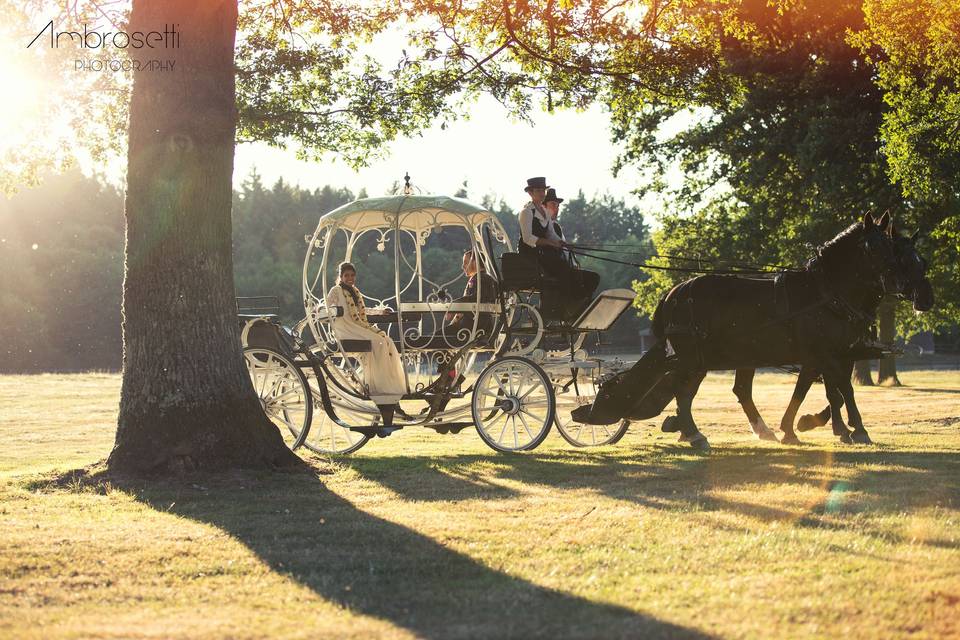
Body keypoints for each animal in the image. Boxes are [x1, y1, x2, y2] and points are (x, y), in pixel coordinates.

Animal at [572, 214, 932, 450]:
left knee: (702, 391)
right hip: (694, 358)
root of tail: (675, 291)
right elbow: (842, 391)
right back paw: (694, 433)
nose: (923, 297)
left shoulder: (831, 355)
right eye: (874, 247)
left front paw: (808, 428)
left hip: (711, 358)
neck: (827, 292)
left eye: (918, 258)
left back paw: (706, 430)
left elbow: (825, 392)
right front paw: (853, 430)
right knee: (682, 391)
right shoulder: (827, 354)